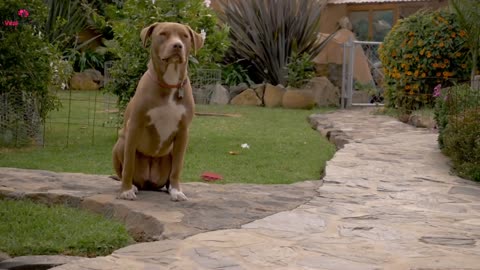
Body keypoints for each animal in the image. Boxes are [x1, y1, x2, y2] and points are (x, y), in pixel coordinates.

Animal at [112, 22, 202, 200]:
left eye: (185, 36)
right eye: (163, 34)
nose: (177, 45)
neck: (170, 83)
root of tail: (148, 182)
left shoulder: (183, 132)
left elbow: (177, 167)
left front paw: (176, 191)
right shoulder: (135, 126)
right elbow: (128, 164)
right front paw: (126, 190)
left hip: (169, 153)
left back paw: (168, 188)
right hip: (120, 144)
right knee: (123, 166)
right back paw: (132, 186)